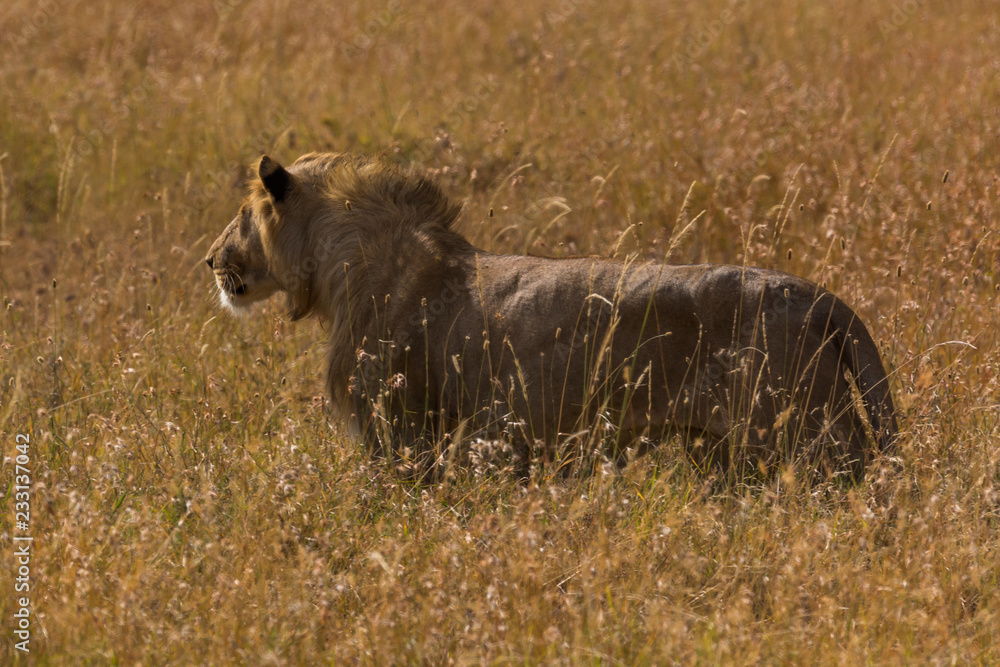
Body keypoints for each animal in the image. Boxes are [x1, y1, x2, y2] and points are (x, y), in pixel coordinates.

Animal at [206, 152, 898, 479]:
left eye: (240, 215)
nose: (210, 259)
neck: (338, 269)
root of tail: (818, 298)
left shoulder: (402, 437)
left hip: (806, 439)